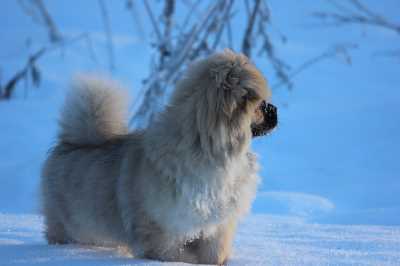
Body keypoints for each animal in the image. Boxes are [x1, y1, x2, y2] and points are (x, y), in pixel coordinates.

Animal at [41, 49, 278, 264]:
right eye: (260, 105)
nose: (274, 110)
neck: (204, 149)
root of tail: (73, 141)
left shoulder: (216, 227)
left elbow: (215, 254)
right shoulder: (161, 231)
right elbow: (176, 255)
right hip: (70, 225)